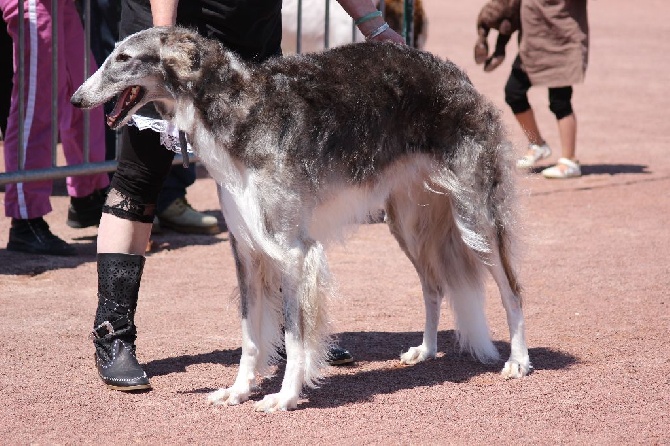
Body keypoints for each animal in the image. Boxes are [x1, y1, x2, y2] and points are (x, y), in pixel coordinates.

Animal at [72, 27, 532, 412]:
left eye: (124, 57)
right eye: (111, 53)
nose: (76, 99)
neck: (242, 112)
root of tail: (457, 75)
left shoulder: (293, 251)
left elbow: (294, 337)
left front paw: (285, 396)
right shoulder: (246, 249)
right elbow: (250, 335)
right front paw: (238, 391)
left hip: (476, 218)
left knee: (511, 288)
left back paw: (518, 360)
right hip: (409, 223)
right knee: (434, 286)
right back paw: (427, 350)